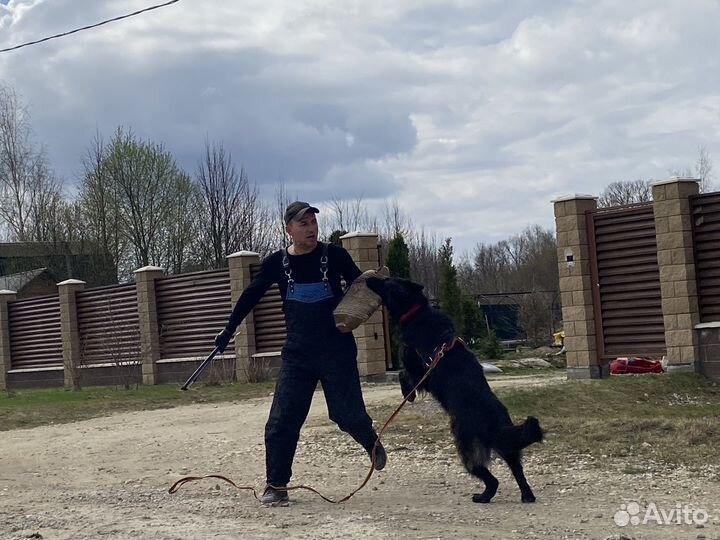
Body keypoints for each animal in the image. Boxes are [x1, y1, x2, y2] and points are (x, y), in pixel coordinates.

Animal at [366, 276, 544, 504]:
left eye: (386, 281)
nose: (368, 277)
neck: (416, 311)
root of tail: (495, 426)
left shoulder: (417, 369)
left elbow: (403, 376)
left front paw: (409, 394)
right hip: (508, 449)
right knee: (518, 471)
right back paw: (527, 496)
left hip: (466, 447)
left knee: (491, 479)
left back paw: (483, 497)